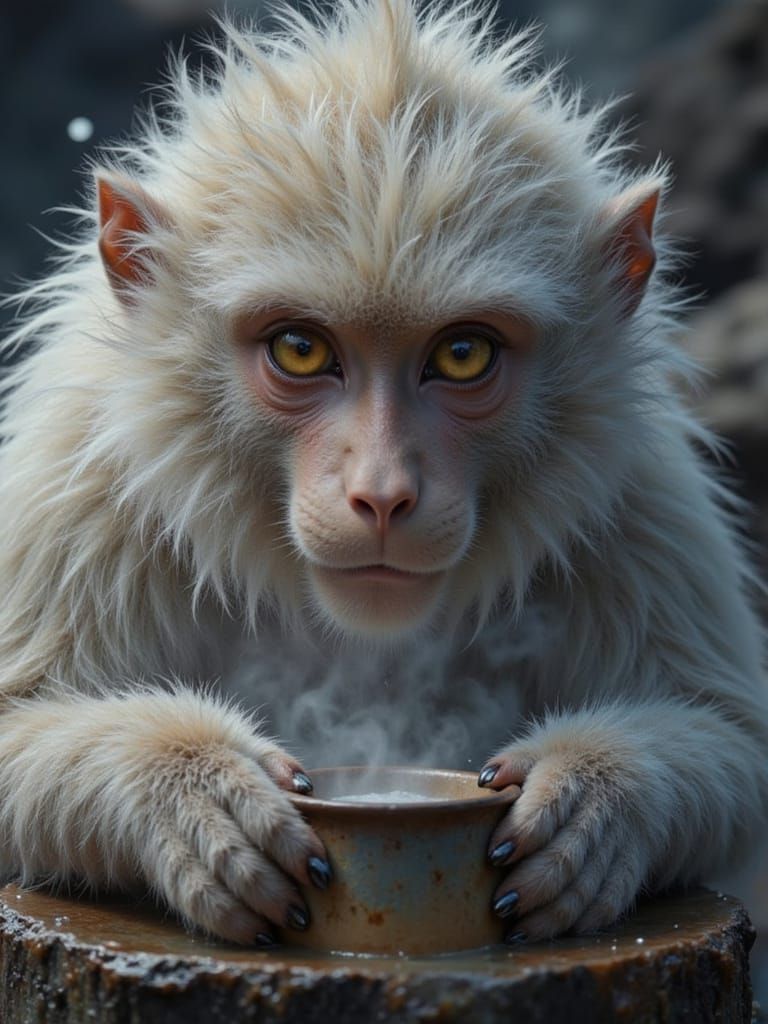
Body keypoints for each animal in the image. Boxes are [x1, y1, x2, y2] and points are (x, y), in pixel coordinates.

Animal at [0, 0, 766, 949]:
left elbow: (735, 741)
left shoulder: (634, 493)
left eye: (463, 354)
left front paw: (597, 801)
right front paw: (194, 792)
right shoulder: (80, 485)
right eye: (301, 348)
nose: (384, 494)